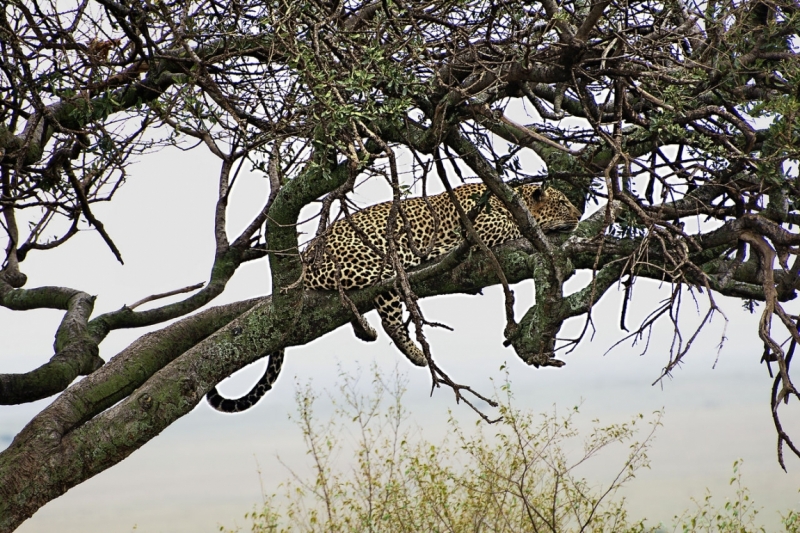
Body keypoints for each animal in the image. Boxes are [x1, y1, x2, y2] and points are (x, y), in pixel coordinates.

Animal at [206, 183, 580, 412]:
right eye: (563, 202)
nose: (579, 214)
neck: (508, 199)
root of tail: (307, 256)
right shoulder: (479, 228)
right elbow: (517, 225)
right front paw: (539, 226)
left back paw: (366, 330)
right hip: (383, 263)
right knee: (384, 317)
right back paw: (411, 351)